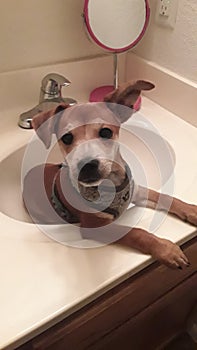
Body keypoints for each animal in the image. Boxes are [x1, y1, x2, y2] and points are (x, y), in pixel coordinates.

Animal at [23, 80, 197, 270]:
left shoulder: (137, 191)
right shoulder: (94, 226)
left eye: (106, 132)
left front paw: (191, 210)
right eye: (66, 138)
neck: (111, 185)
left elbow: (166, 197)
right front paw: (165, 249)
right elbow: (136, 233)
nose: (87, 166)